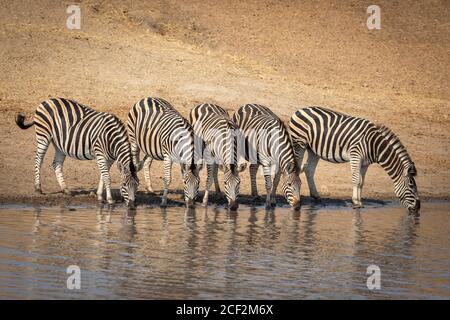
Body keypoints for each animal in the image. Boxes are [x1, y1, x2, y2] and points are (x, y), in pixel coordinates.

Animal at [290, 106, 420, 214]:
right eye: (411, 186)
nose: (418, 207)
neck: (374, 145)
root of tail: (300, 110)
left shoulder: (365, 163)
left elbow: (361, 182)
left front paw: (359, 201)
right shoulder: (355, 155)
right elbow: (356, 180)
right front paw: (356, 202)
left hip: (313, 149)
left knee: (309, 169)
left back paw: (316, 195)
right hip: (299, 144)